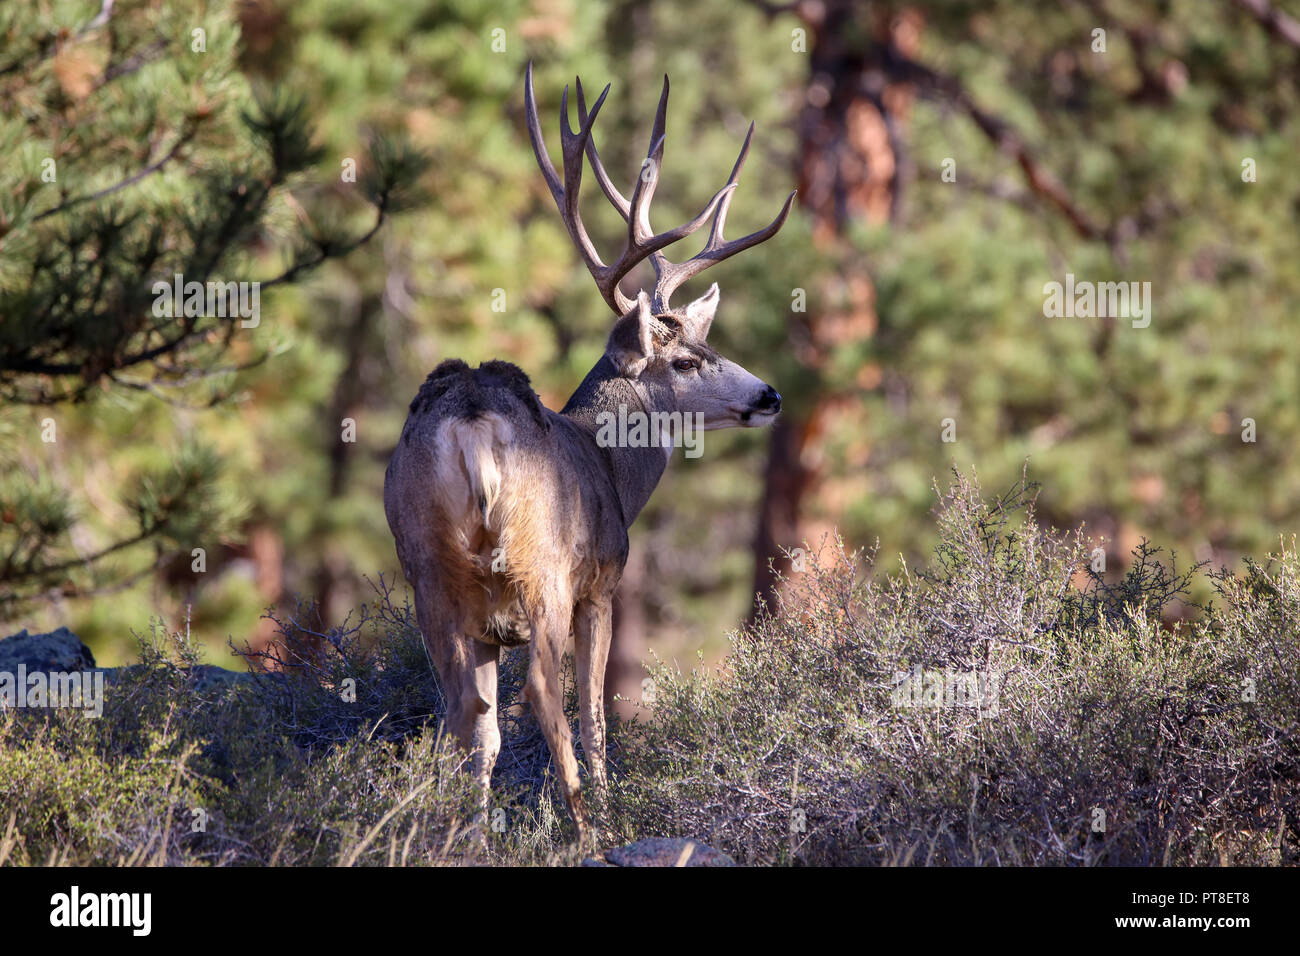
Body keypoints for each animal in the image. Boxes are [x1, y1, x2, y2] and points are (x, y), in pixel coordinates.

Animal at [383, 62, 794, 840]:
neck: (609, 465)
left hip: (430, 573)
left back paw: (459, 832)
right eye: (687, 359)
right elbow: (598, 712)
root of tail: (472, 420)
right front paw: (605, 803)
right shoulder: (601, 585)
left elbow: (484, 729)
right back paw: (591, 826)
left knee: (463, 713)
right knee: (547, 693)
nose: (770, 395)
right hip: (542, 567)